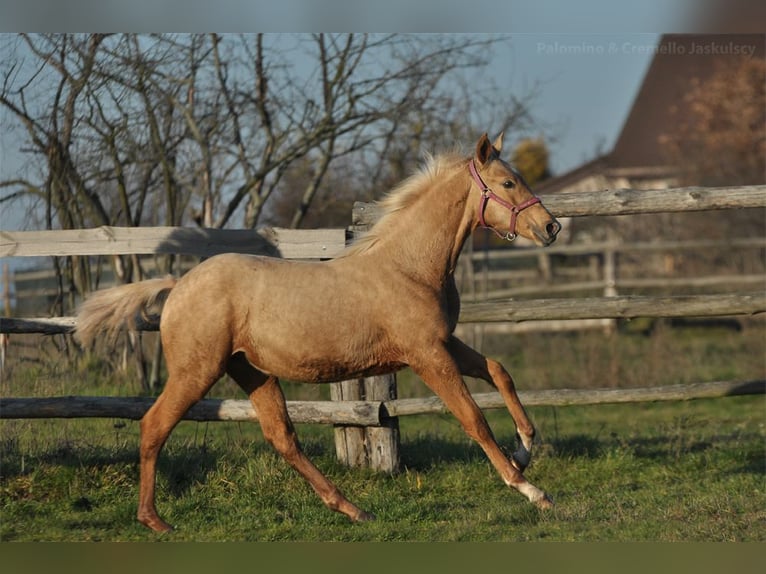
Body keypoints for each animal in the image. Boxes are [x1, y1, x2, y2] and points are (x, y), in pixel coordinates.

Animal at [78, 133, 564, 532]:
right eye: (507, 184)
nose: (551, 227)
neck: (408, 267)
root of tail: (178, 285)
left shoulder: (443, 344)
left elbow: (500, 372)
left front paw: (524, 449)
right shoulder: (427, 355)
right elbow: (473, 418)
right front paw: (531, 490)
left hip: (252, 372)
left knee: (283, 438)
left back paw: (352, 509)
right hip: (196, 372)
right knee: (154, 425)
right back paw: (154, 520)